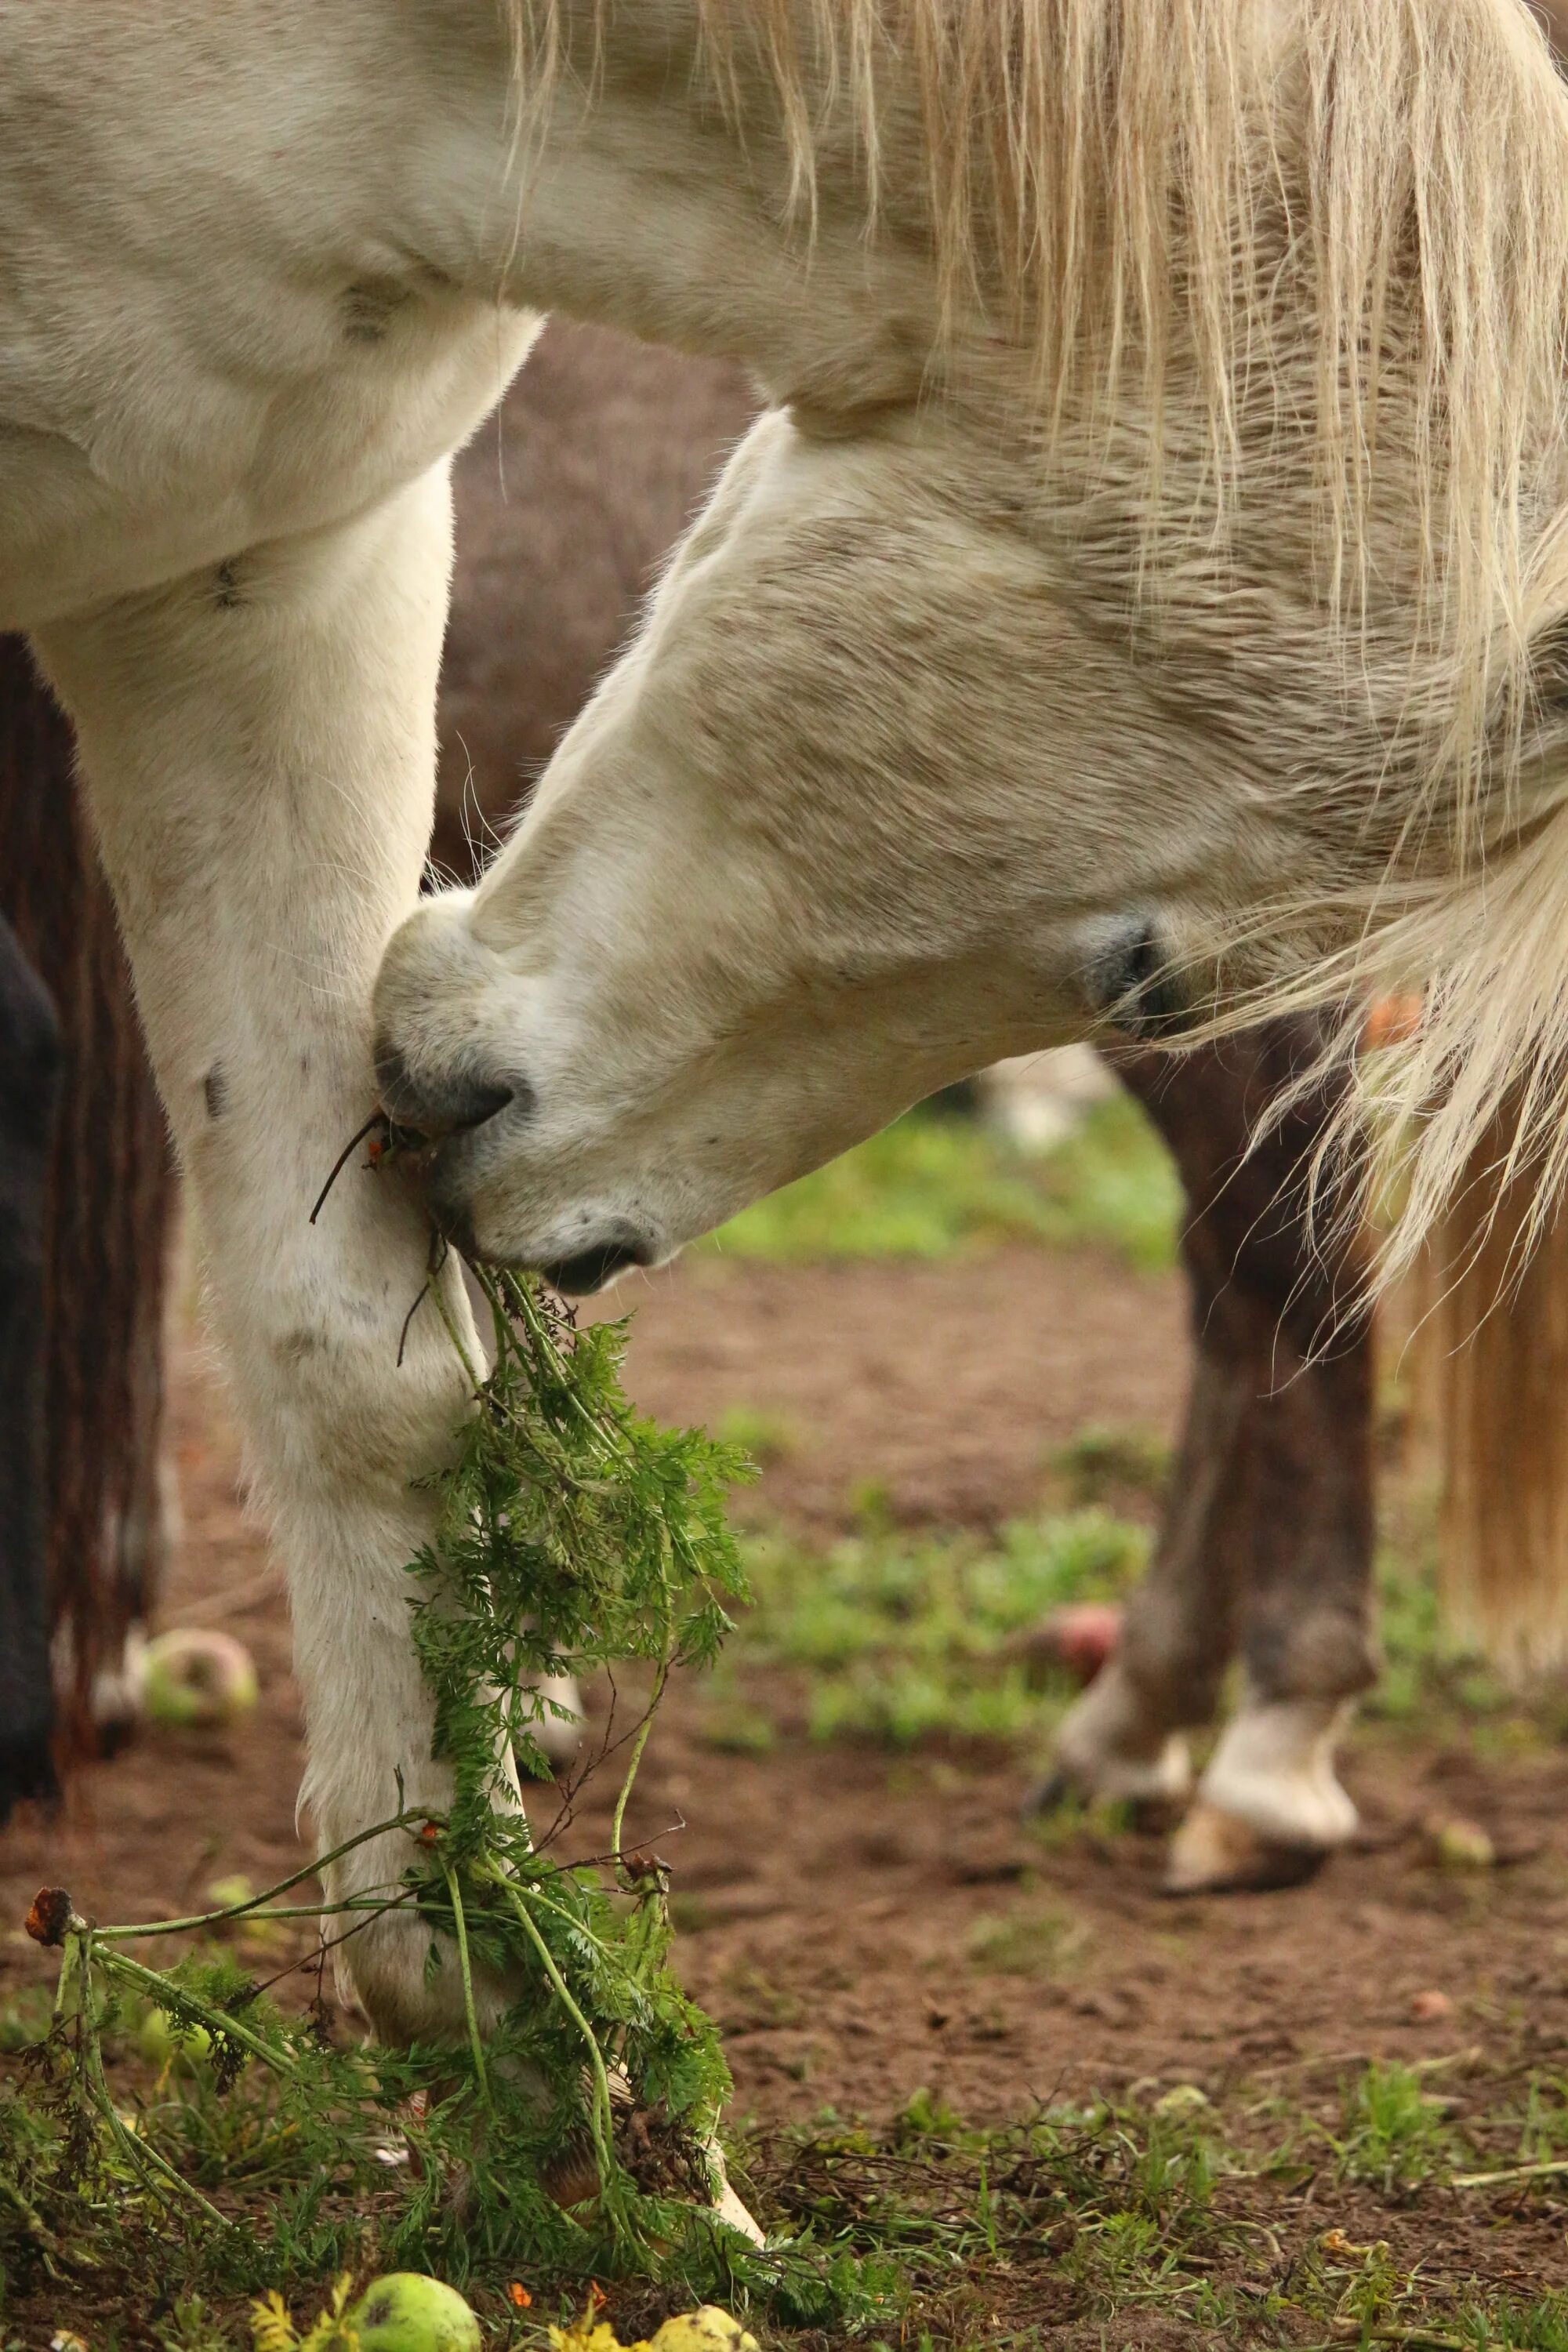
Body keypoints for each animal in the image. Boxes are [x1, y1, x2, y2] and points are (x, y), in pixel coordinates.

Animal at [9, 0, 1568, 2042]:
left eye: (1142, 971)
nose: (506, 1157)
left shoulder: (271, 553)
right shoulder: (224, 555)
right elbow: (332, 1333)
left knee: (1273, 1253)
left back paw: (1248, 1744)